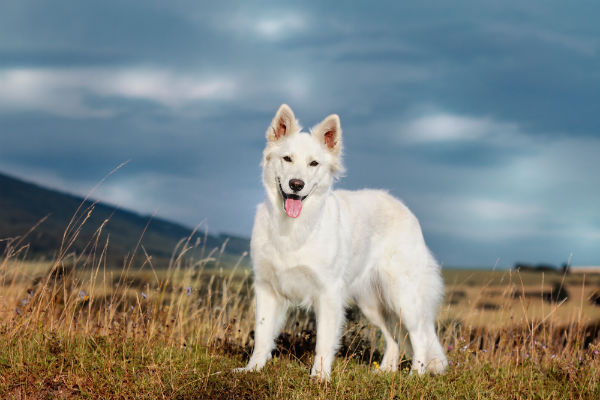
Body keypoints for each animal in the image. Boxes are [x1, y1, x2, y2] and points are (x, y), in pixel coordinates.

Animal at [237, 104, 448, 380]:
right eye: (287, 159)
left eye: (314, 163)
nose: (296, 185)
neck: (295, 227)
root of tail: (405, 210)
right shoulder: (266, 288)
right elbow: (262, 335)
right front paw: (252, 369)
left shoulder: (327, 293)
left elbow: (323, 342)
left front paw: (319, 377)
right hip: (371, 303)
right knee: (393, 338)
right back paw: (385, 372)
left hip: (402, 297)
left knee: (419, 335)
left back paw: (415, 375)